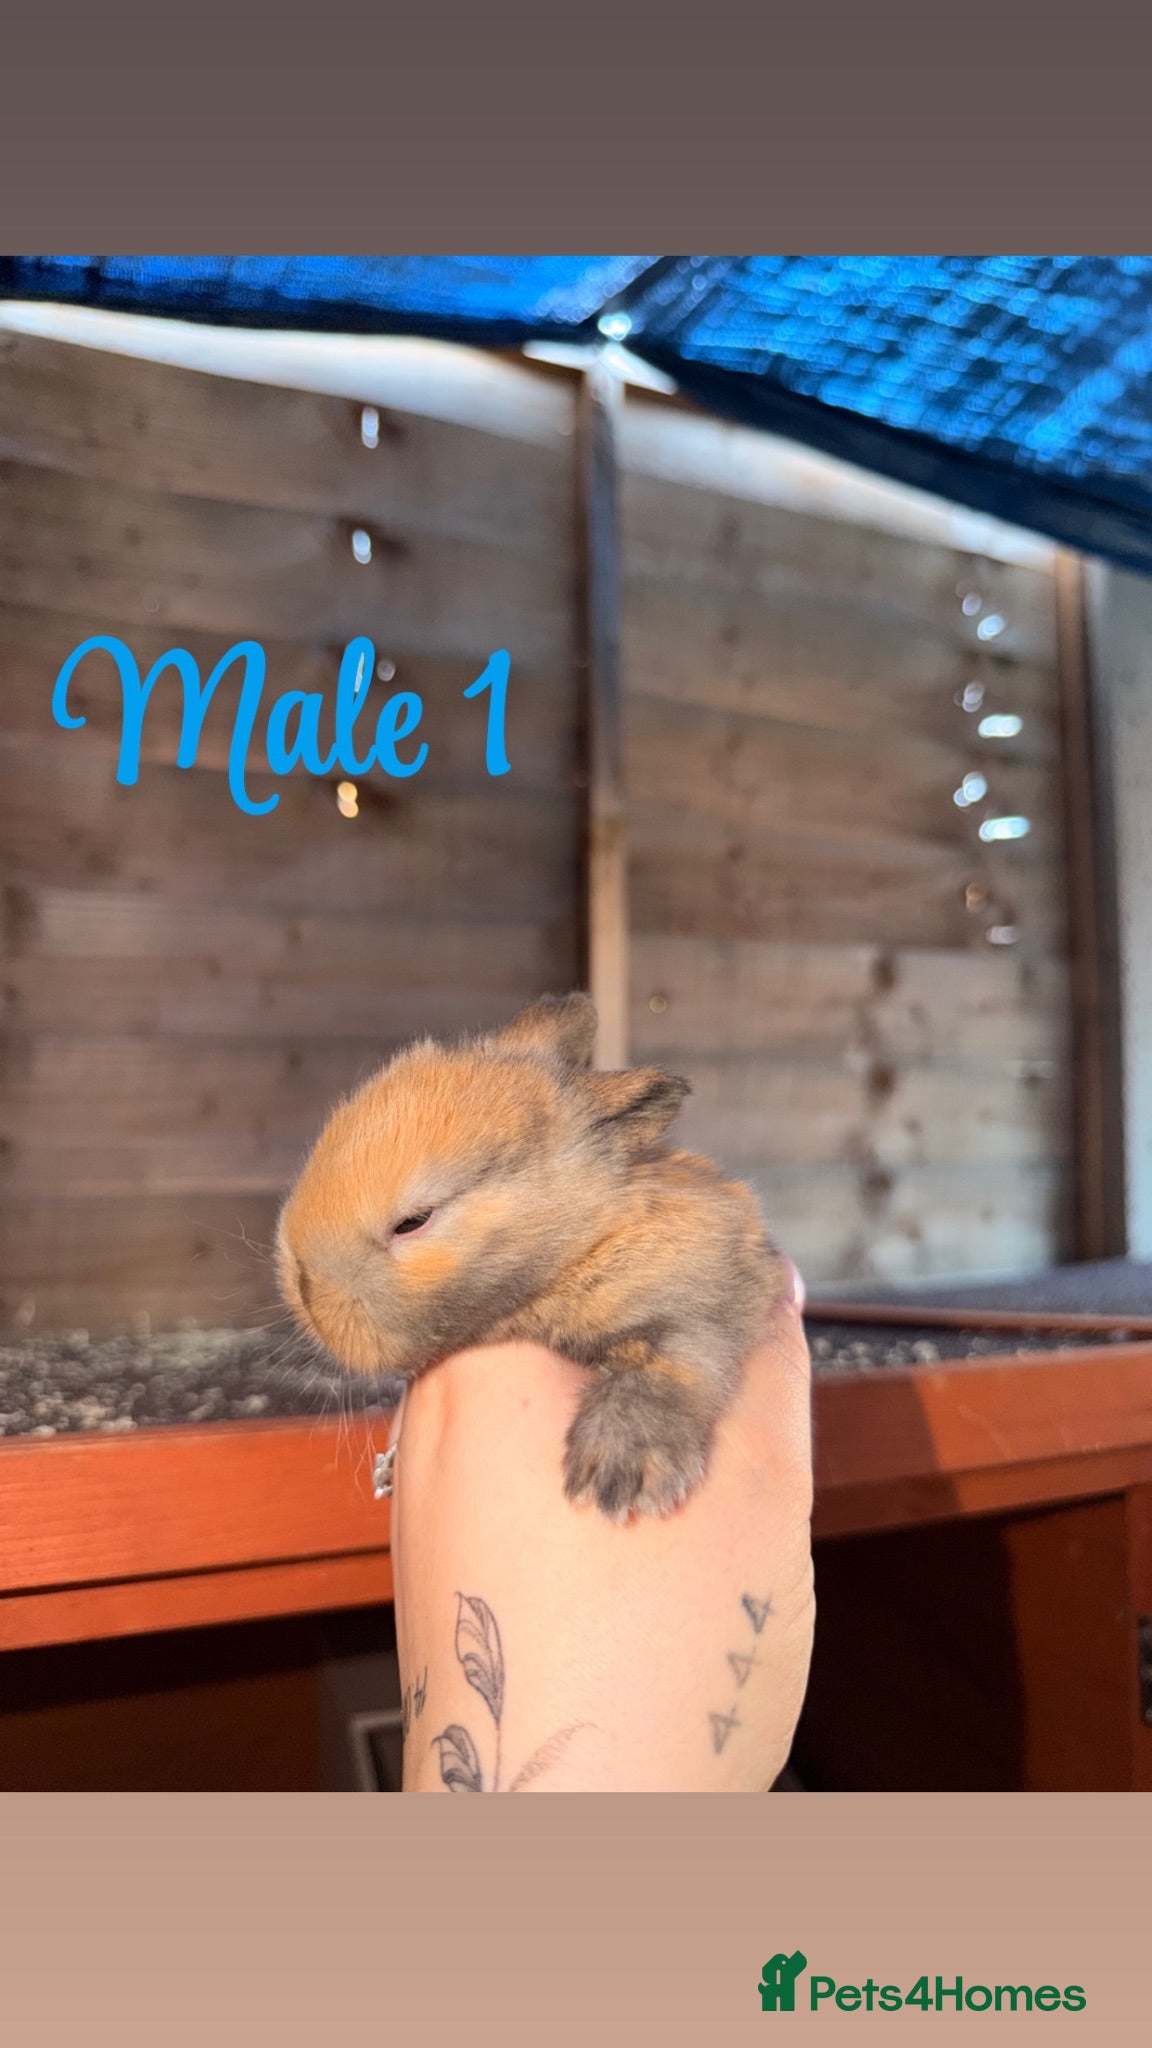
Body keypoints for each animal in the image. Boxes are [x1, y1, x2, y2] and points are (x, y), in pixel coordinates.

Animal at [277, 993, 785, 1519]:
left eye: (413, 1221)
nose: (304, 1289)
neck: (574, 1253)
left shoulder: (705, 1298)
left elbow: (674, 1362)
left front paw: (618, 1470)